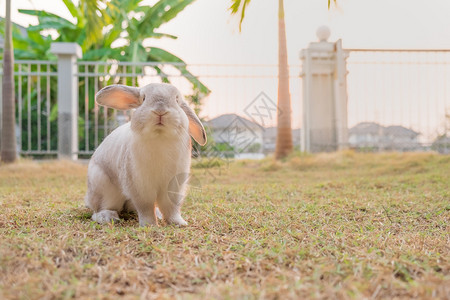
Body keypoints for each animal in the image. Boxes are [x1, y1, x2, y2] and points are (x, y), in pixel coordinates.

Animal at [84, 83, 207, 226]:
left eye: (177, 100)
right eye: (143, 98)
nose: (160, 110)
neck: (160, 138)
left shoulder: (174, 186)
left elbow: (171, 207)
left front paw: (179, 223)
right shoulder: (140, 186)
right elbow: (146, 207)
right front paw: (150, 225)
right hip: (103, 188)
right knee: (99, 209)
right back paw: (107, 217)